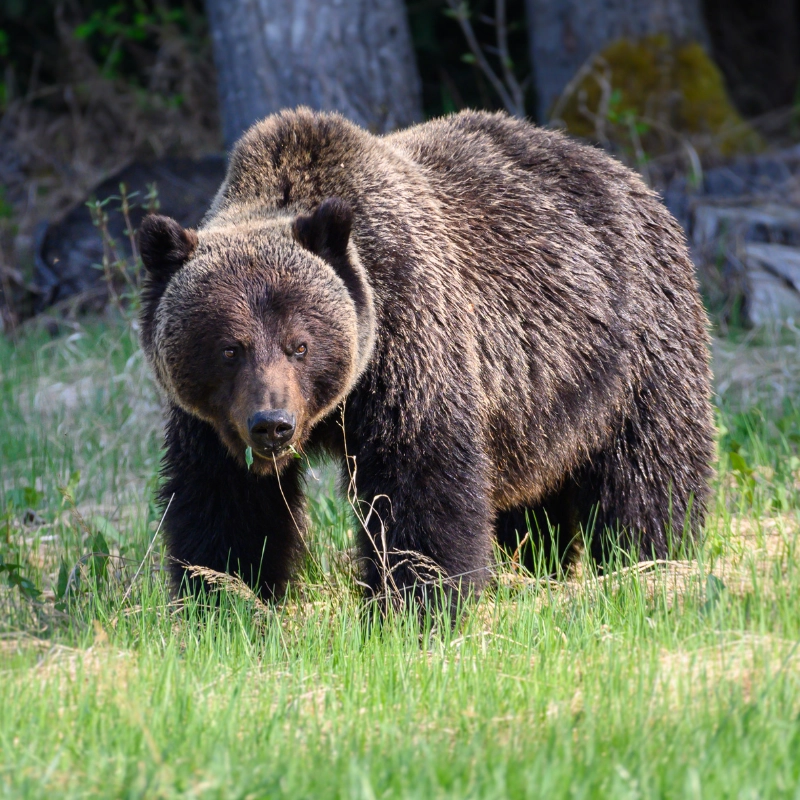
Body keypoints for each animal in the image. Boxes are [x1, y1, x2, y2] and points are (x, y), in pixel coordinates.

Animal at [138, 108, 712, 612]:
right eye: (229, 348)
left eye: (299, 344)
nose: (273, 425)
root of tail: (626, 174)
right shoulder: (211, 422)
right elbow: (226, 504)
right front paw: (225, 601)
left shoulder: (412, 343)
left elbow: (419, 484)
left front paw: (414, 605)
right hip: (539, 410)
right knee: (534, 502)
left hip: (633, 350)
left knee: (648, 472)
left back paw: (653, 565)